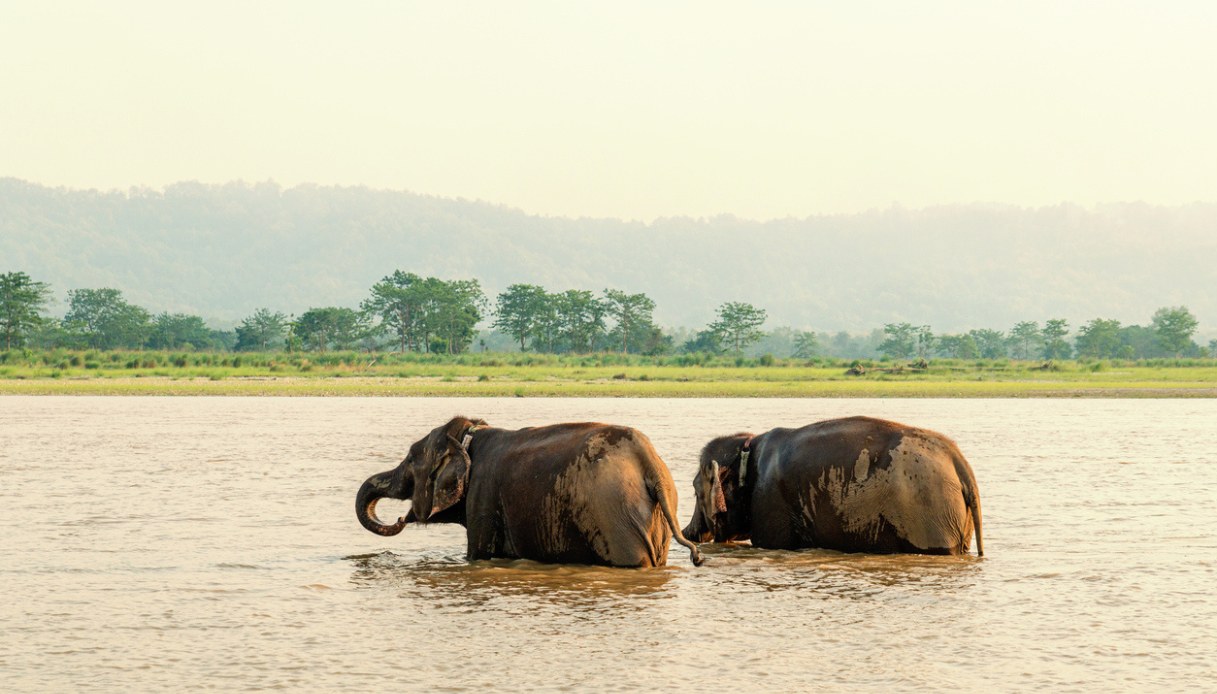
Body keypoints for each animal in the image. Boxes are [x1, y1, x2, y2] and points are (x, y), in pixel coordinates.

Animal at [355, 413, 705, 564]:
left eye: (411, 458)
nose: (400, 519)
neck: (469, 434)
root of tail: (647, 460)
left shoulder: (482, 496)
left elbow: (479, 554)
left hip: (615, 516)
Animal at [681, 413, 983, 552]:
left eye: (695, 491)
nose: (688, 532)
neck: (747, 445)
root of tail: (959, 462)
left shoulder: (770, 502)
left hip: (929, 516)